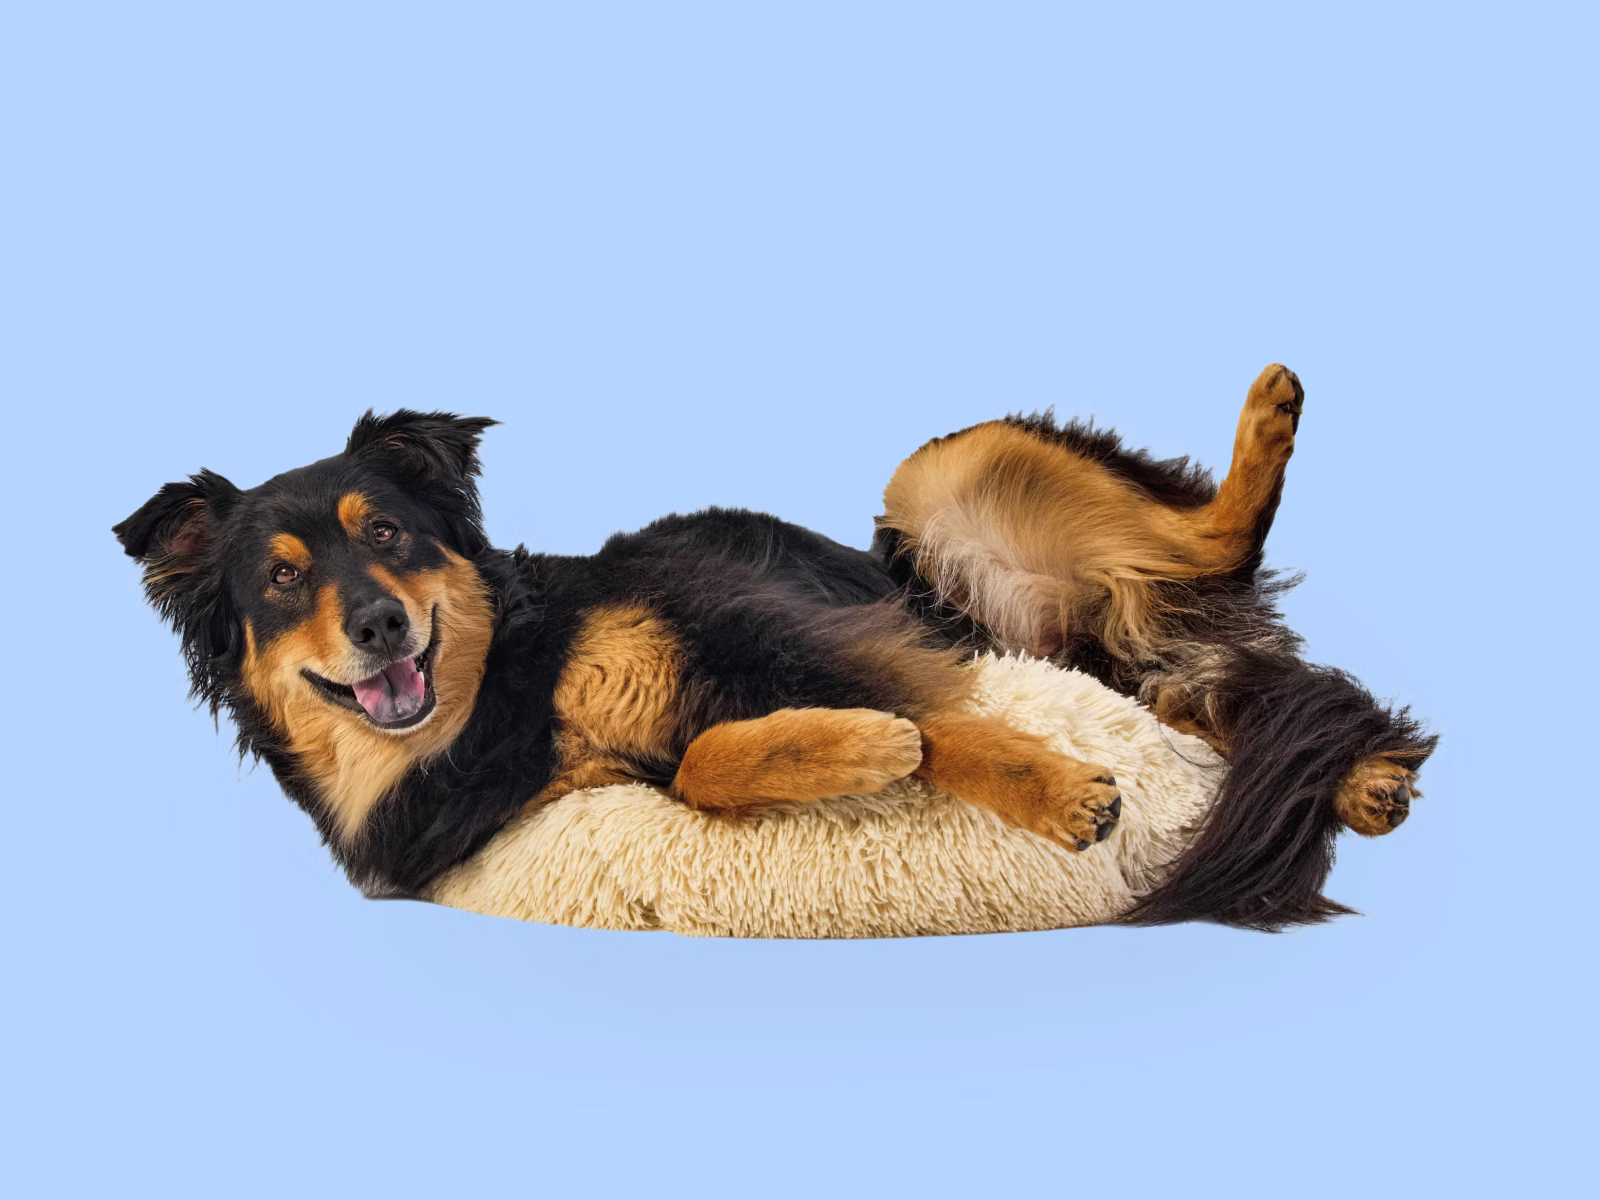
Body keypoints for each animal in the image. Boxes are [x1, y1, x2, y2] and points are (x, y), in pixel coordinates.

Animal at [115, 365, 1435, 930]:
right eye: (282, 581)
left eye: (386, 533)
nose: (381, 623)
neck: (503, 701)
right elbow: (707, 768)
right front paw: (860, 750)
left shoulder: (762, 617)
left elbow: (942, 725)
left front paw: (1053, 792)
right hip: (1116, 650)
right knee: (1240, 691)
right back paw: (1364, 779)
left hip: (944, 474)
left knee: (1215, 537)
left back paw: (1271, 412)